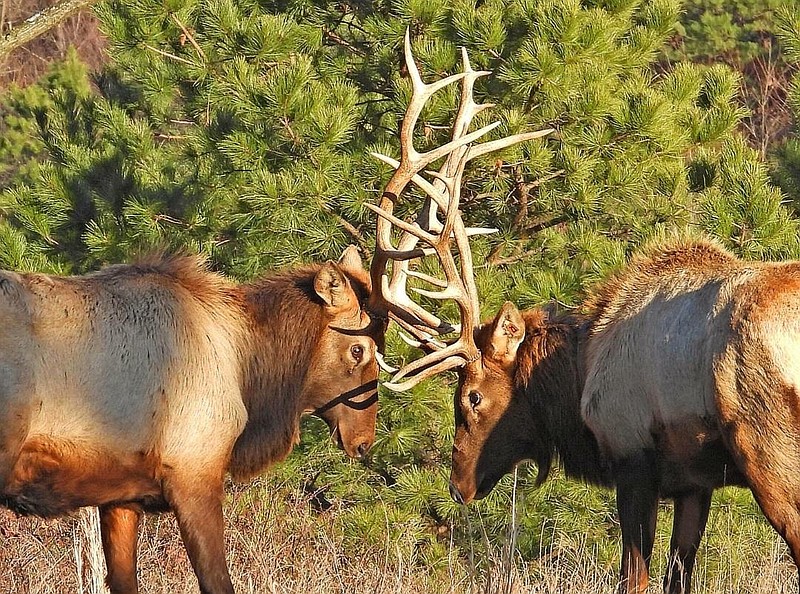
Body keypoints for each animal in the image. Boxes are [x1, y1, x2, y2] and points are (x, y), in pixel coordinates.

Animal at [0, 246, 388, 592]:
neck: (245, 364)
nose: (363, 441)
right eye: (358, 349)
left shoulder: (120, 495)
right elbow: (217, 582)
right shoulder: (193, 471)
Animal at [368, 32, 800, 594]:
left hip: (765, 440)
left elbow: (632, 576)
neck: (579, 370)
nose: (458, 483)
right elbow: (677, 575)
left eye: (472, 397)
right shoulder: (693, 483)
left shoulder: (632, 453)